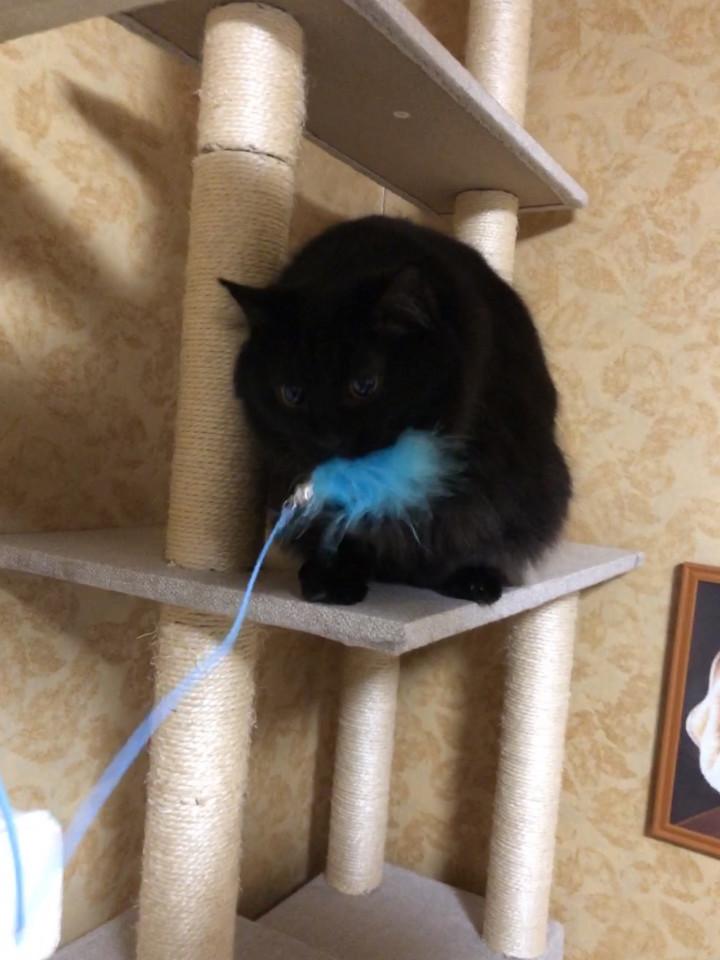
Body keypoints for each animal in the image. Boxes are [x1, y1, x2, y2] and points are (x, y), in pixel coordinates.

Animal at [222, 215, 571, 606]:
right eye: (292, 394)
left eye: (364, 385)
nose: (326, 438)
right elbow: (347, 528)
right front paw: (335, 578)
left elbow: (462, 528)